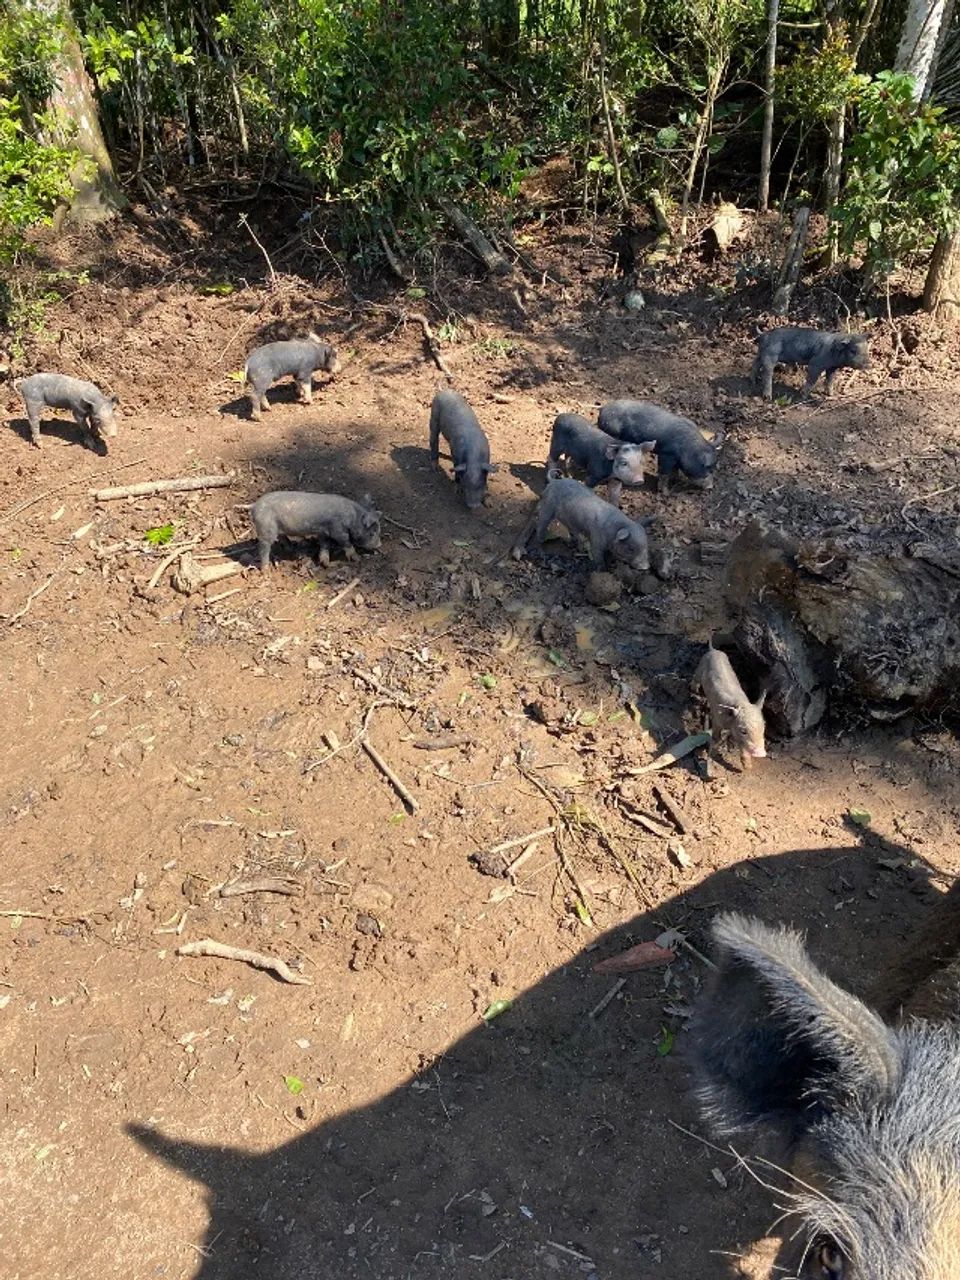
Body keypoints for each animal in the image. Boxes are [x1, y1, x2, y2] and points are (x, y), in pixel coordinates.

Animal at [250, 491, 381, 573]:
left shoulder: (324, 532)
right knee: (263, 548)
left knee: (281, 538)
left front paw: (326, 563)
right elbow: (346, 542)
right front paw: (357, 558)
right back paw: (266, 570)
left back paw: (292, 548)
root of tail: (254, 506)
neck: (352, 519)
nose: (380, 545)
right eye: (372, 533)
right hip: (265, 529)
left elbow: (324, 545)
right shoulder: (337, 530)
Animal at [511, 475, 649, 571]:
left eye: (646, 546)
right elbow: (597, 556)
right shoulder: (596, 540)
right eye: (631, 548)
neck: (614, 529)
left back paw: (573, 544)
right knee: (541, 525)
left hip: (566, 517)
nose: (645, 567)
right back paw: (541, 547)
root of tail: (553, 482)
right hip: (547, 507)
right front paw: (603, 570)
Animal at [694, 640, 766, 769]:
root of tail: (713, 650)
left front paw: (747, 767)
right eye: (743, 731)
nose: (761, 754)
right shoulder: (717, 718)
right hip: (700, 666)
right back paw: (694, 690)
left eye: (763, 727)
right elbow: (716, 735)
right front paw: (713, 752)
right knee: (695, 679)